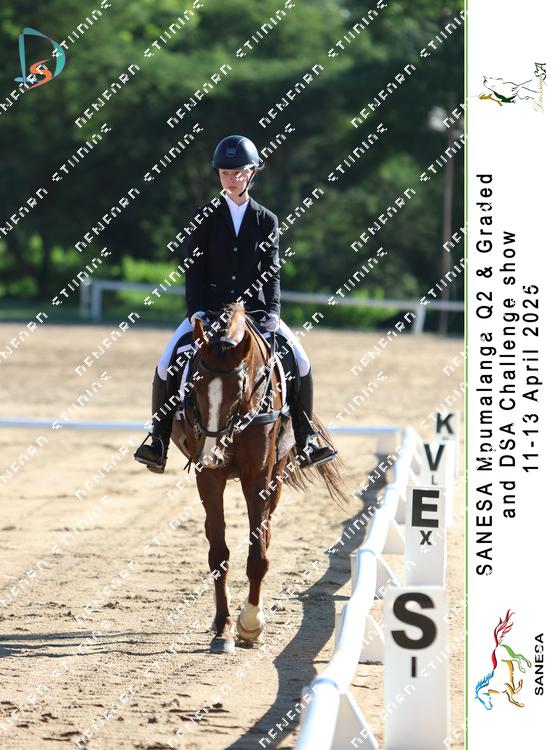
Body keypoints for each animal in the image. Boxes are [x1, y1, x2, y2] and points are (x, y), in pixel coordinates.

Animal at [170, 302, 348, 653]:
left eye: (239, 388)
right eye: (195, 384)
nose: (212, 454)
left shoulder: (259, 476)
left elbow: (258, 554)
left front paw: (250, 625)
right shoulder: (208, 477)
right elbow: (218, 553)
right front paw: (223, 629)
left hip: (276, 473)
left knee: (265, 533)